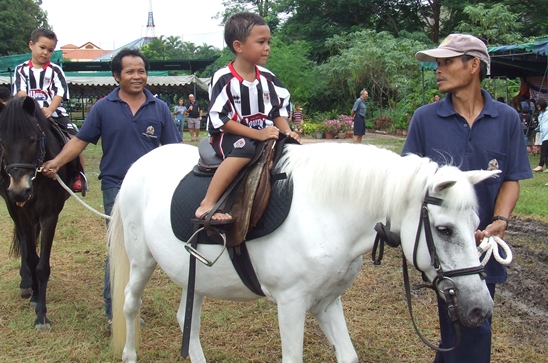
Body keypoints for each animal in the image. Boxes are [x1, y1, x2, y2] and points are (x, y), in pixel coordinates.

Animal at [0, 95, 77, 332]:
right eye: (2, 143)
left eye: (33, 139)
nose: (19, 191)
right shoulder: (22, 211)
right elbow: (33, 257)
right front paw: (35, 298)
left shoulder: (50, 214)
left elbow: (42, 266)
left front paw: (41, 315)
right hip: (13, 208)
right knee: (24, 240)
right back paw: (26, 284)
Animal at [110, 142, 496, 363]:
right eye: (444, 230)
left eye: (477, 225)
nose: (480, 307)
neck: (323, 210)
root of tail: (139, 163)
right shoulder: (291, 303)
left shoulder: (326, 302)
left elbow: (348, 356)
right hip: (141, 259)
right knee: (130, 303)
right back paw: (128, 354)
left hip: (196, 275)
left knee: (186, 320)